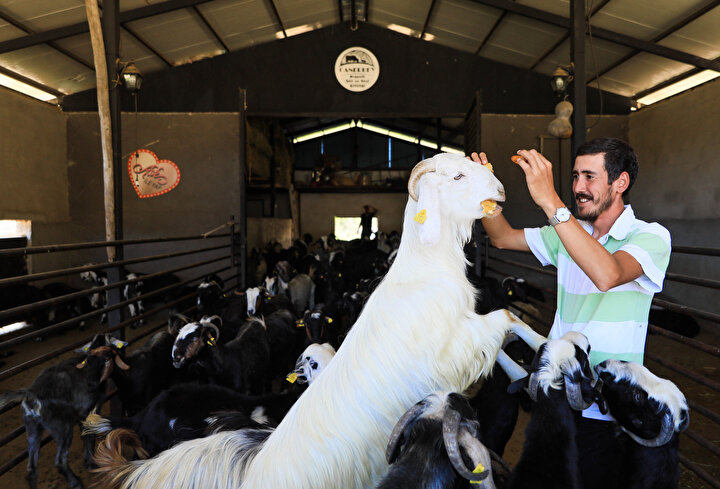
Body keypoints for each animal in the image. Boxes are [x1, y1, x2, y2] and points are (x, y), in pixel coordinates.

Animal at [90, 152, 544, 488]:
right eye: (456, 176)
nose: (502, 189)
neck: (424, 271)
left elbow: (503, 330)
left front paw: (524, 369)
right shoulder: (454, 346)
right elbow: (506, 317)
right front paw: (536, 355)